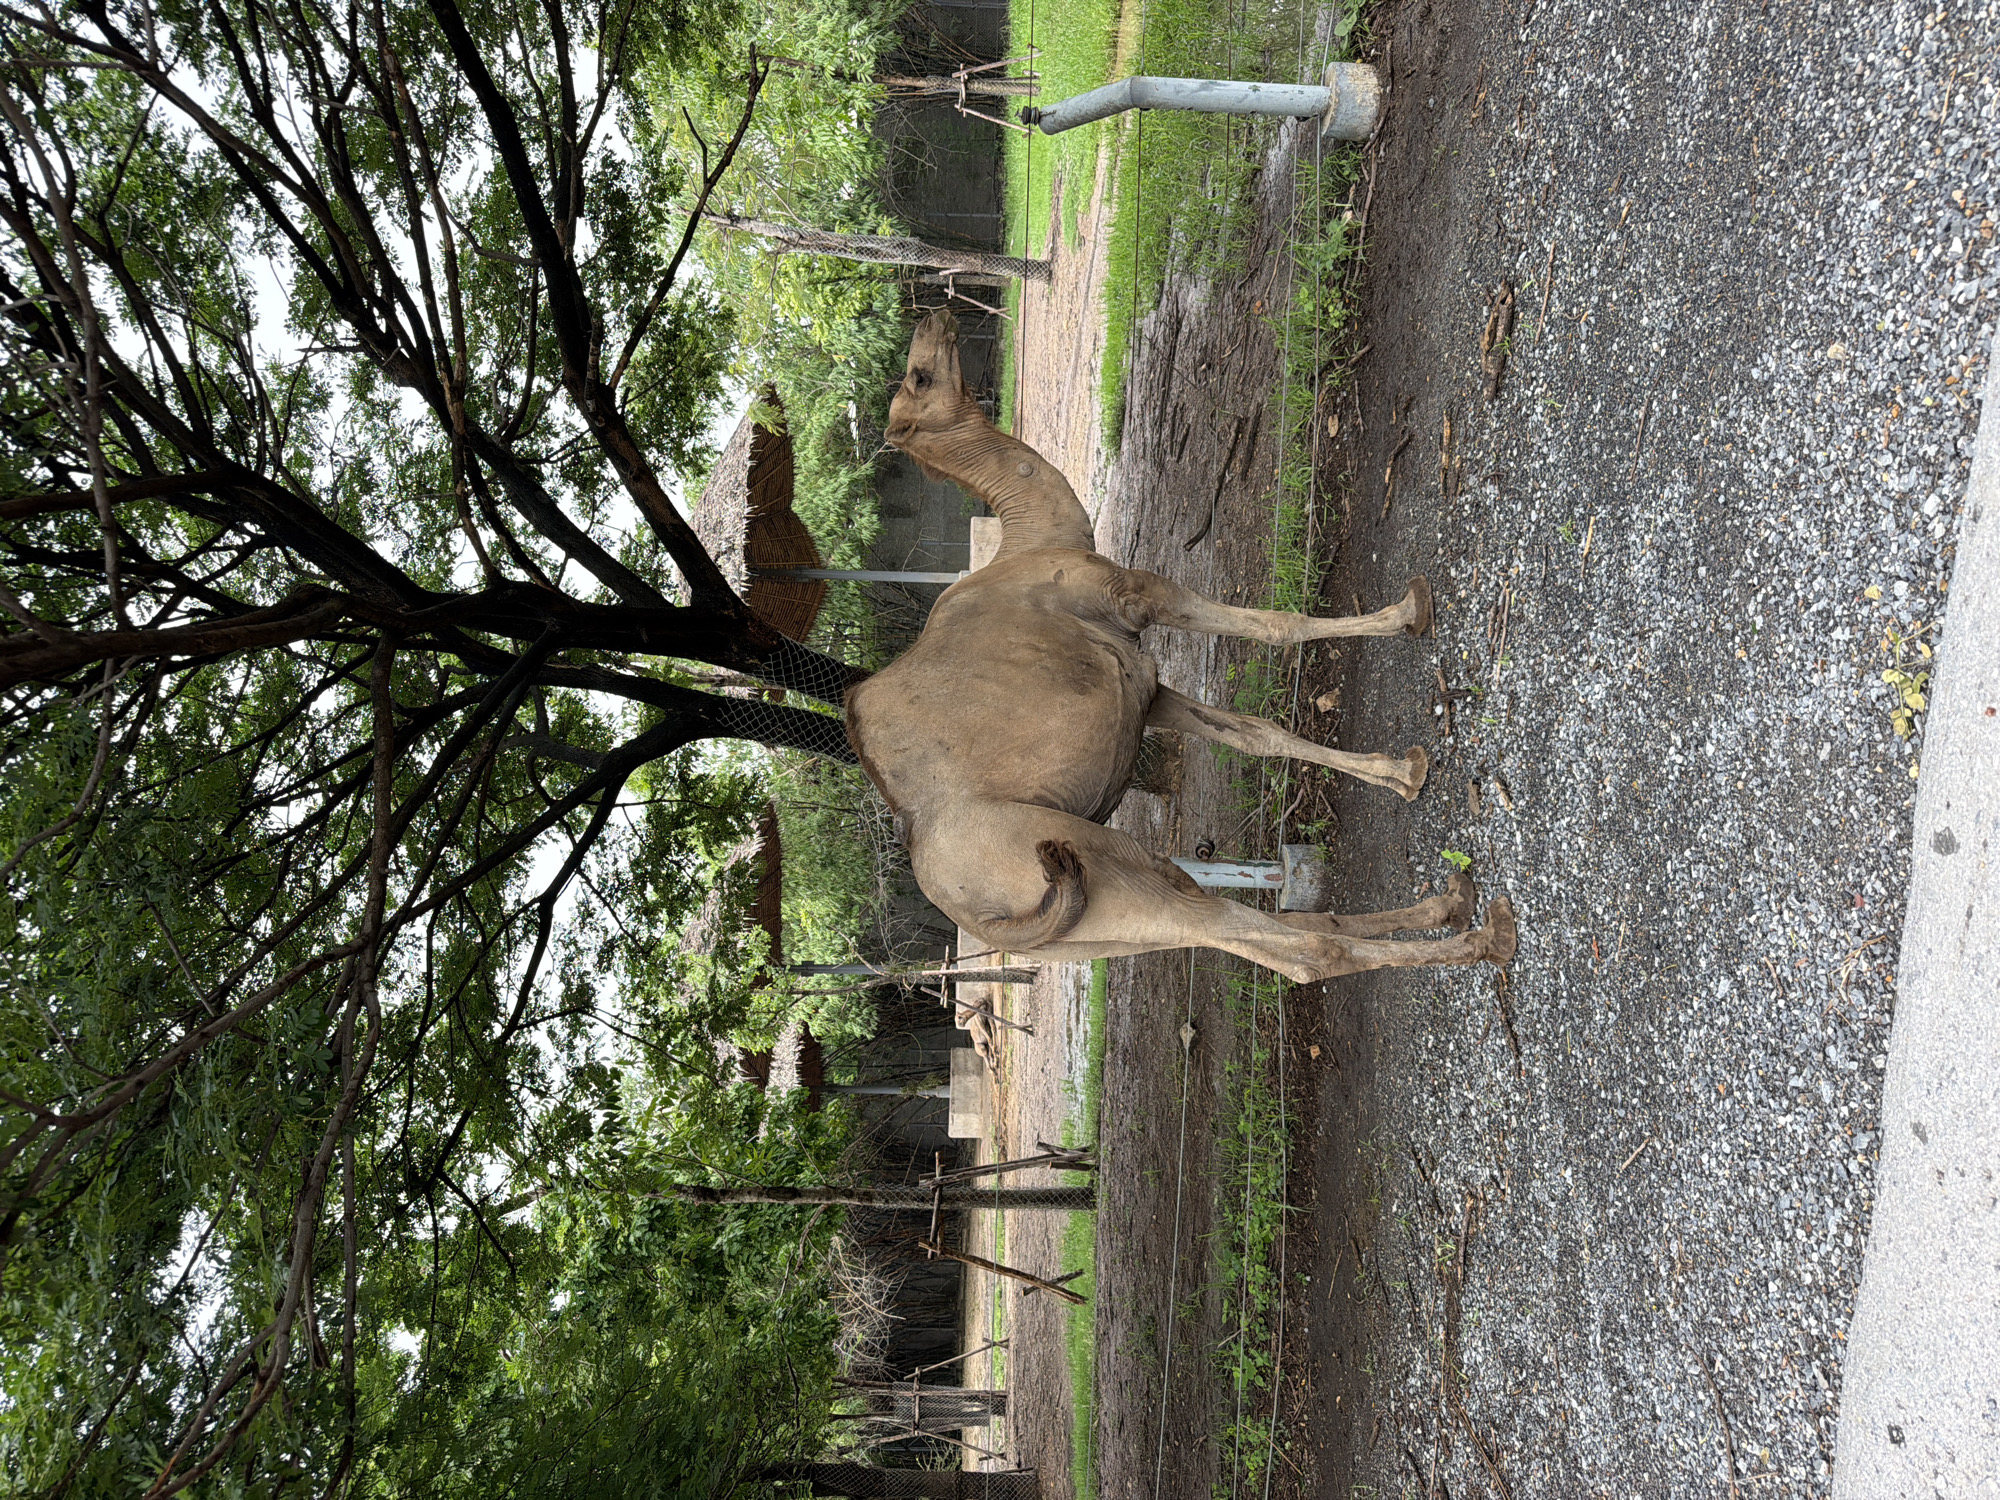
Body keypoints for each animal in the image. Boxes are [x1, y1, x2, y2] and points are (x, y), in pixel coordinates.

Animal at [842, 313, 1514, 985]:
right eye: (920, 377)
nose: (936, 321)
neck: (1035, 539)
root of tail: (975, 914)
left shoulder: (1145, 686)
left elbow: (1257, 732)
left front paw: (1403, 772)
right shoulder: (1136, 595)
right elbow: (1277, 624)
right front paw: (1411, 613)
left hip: (1094, 926)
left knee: (1247, 915)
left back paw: (1449, 901)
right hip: (1085, 869)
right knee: (1286, 946)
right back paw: (1486, 935)